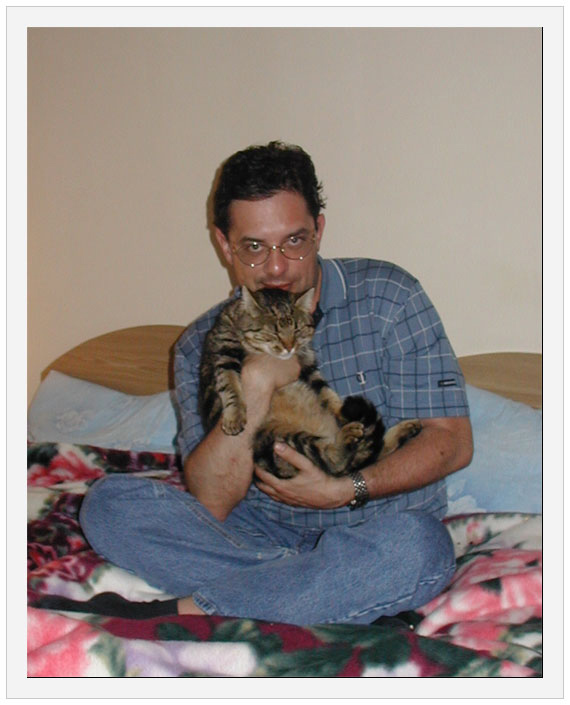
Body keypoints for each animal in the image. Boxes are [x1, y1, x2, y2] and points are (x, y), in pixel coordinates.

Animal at [198, 286, 421, 479]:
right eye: (274, 333)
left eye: (297, 331)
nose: (289, 347)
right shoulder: (224, 353)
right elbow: (230, 384)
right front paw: (234, 416)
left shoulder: (307, 364)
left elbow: (326, 391)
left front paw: (339, 410)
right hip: (281, 441)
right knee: (335, 459)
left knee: (367, 454)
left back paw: (405, 428)